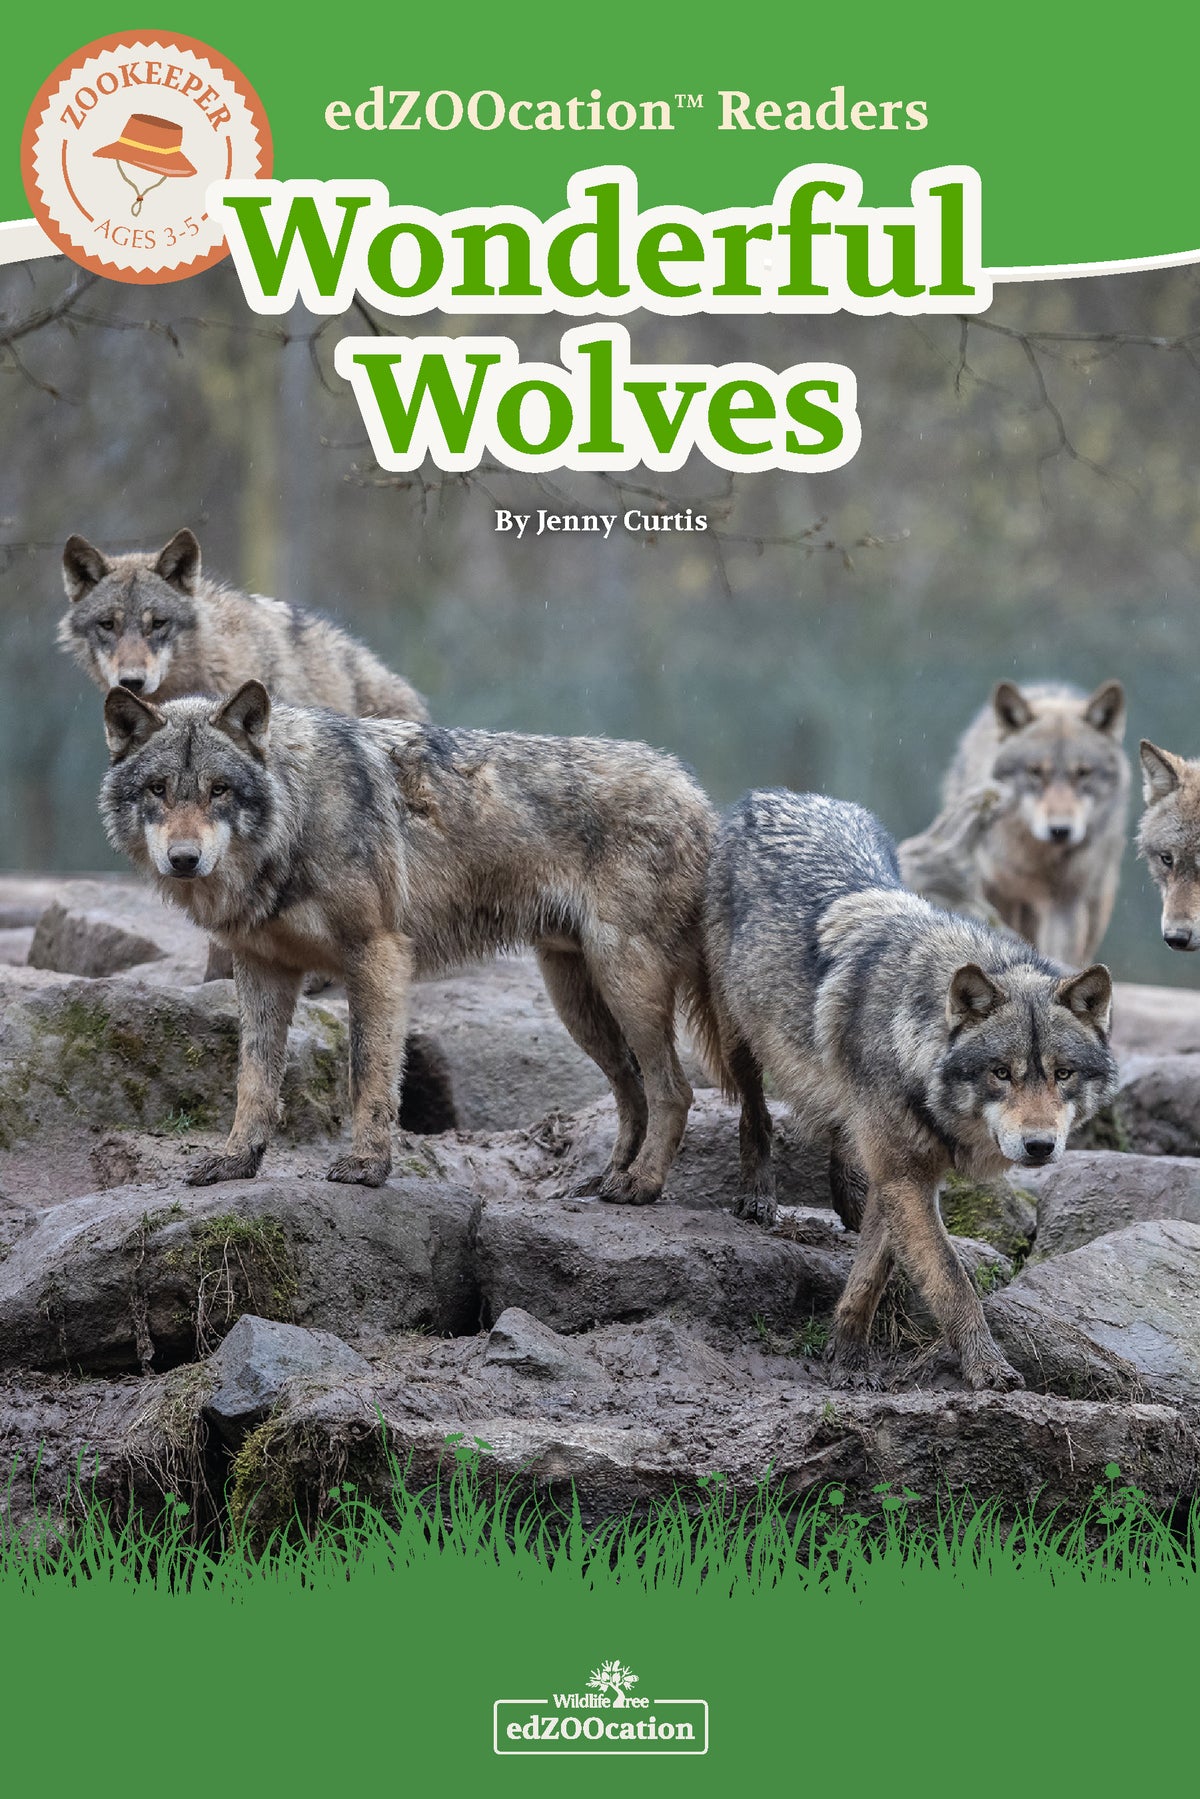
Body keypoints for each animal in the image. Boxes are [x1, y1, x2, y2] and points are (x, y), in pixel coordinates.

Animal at [99, 682, 723, 1198]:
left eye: (219, 790)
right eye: (158, 789)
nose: (184, 859)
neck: (298, 817)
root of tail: (699, 796)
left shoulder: (377, 955)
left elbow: (368, 1071)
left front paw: (367, 1166)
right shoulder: (261, 968)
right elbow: (253, 1078)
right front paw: (236, 1162)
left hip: (625, 983)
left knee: (674, 1089)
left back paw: (641, 1185)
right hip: (575, 1001)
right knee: (633, 1089)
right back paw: (607, 1178)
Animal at [704, 790, 1118, 1390]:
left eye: (1062, 1074)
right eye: (1002, 1073)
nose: (1040, 1146)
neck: (912, 1043)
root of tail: (777, 795)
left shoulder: (904, 1179)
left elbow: (872, 1272)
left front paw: (846, 1354)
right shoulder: (906, 1178)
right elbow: (951, 1280)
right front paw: (986, 1367)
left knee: (845, 1142)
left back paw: (848, 1198)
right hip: (739, 1036)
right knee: (754, 1111)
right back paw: (758, 1193)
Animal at [941, 679, 1129, 965]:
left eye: (1082, 773)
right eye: (1035, 772)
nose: (1060, 830)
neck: (1037, 859)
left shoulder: (1065, 903)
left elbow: (1061, 953)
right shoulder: (997, 895)